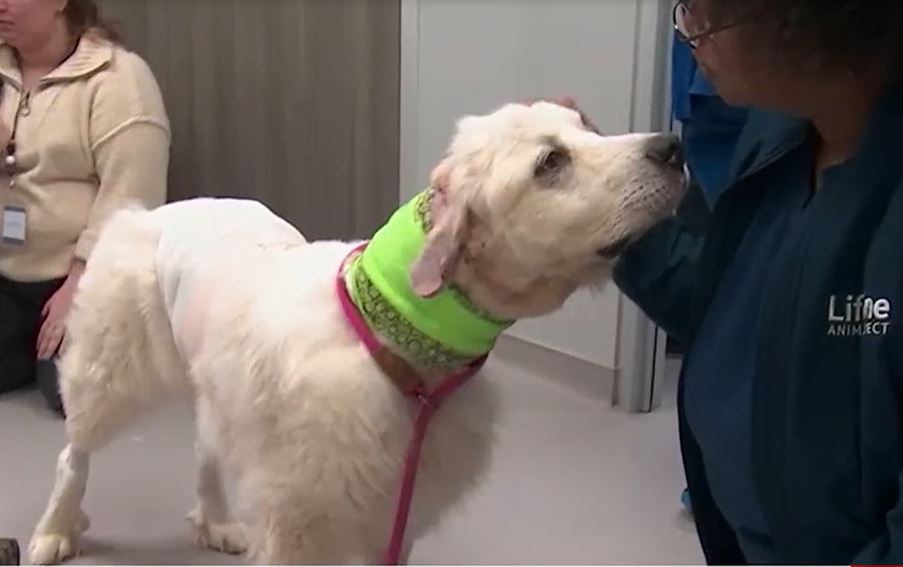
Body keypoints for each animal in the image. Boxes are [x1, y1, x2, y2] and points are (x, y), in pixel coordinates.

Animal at [26, 102, 684, 564]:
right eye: (550, 164)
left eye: (588, 127)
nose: (674, 146)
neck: (393, 340)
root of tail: (149, 212)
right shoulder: (301, 527)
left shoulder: (392, 516)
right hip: (110, 372)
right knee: (72, 455)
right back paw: (55, 531)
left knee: (204, 450)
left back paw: (214, 521)